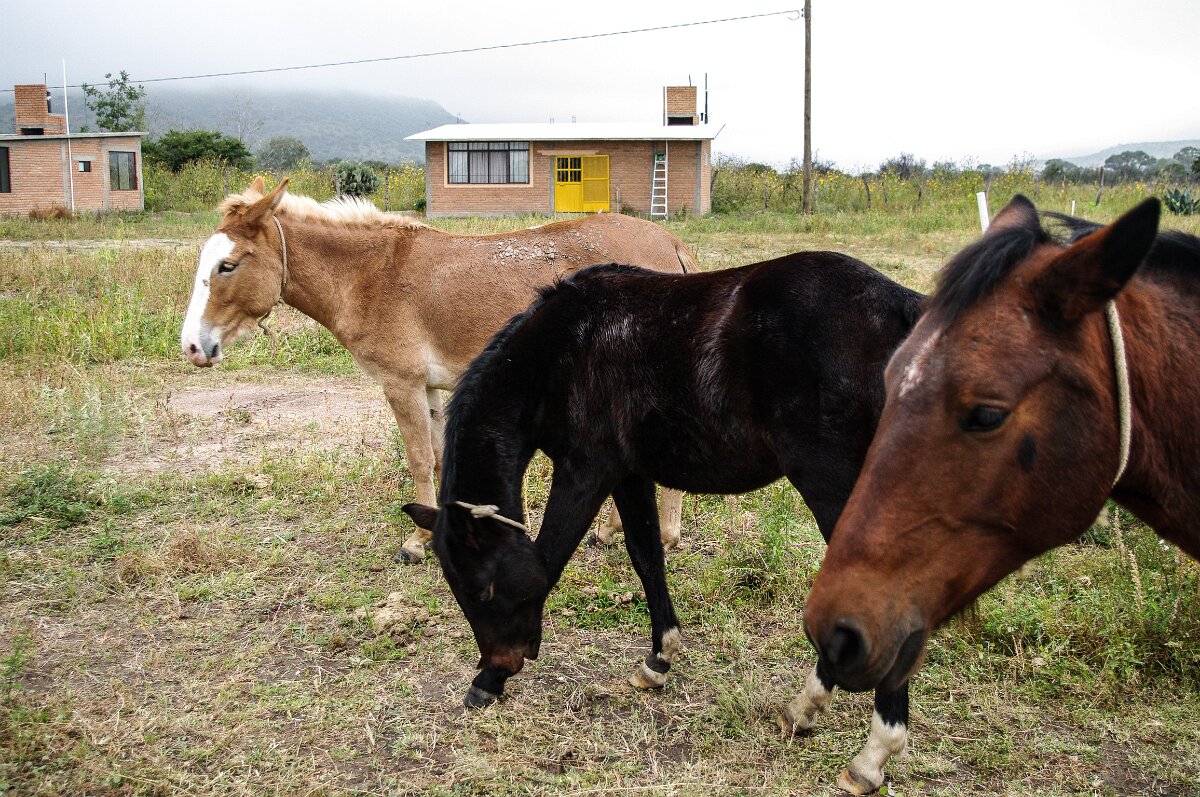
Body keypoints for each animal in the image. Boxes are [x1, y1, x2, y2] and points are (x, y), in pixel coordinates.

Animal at [178, 177, 691, 562]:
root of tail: (670, 241)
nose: (193, 347)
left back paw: (661, 536)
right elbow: (443, 458)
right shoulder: (428, 388)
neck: (368, 275)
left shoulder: (400, 384)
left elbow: (419, 458)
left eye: (228, 266)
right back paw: (614, 532)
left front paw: (418, 541)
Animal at [400, 251, 925, 794]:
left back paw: (870, 753)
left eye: (482, 590)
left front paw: (488, 681)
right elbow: (646, 558)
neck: (561, 351)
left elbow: (548, 561)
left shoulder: (585, 471)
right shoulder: (629, 474)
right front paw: (658, 661)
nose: (501, 664)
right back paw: (807, 712)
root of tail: (904, 311)